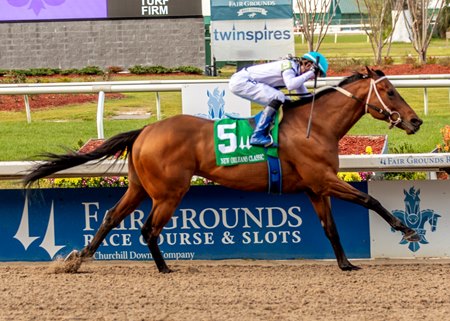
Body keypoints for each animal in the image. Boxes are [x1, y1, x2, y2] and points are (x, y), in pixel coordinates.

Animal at [22, 66, 424, 272]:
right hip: (168, 192)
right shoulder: (323, 179)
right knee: (148, 229)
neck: (317, 126)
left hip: (138, 187)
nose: (416, 121)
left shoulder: (315, 188)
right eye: (390, 91)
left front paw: (346, 264)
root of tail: (146, 130)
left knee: (110, 217)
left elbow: (331, 228)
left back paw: (77, 259)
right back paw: (164, 268)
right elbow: (370, 202)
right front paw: (408, 230)